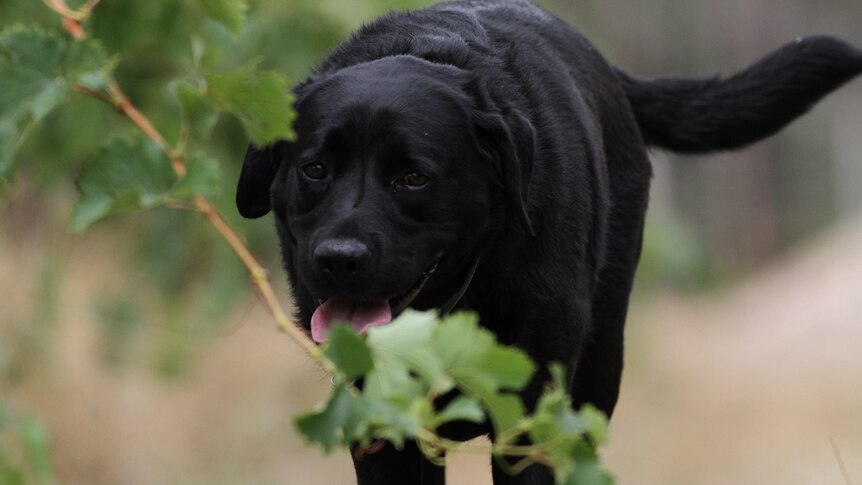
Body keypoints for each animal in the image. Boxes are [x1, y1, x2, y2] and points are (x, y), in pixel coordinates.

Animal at [236, 1, 862, 482]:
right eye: (315, 169)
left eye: (414, 177)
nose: (338, 261)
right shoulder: (382, 420)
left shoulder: (531, 419)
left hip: (598, 368)